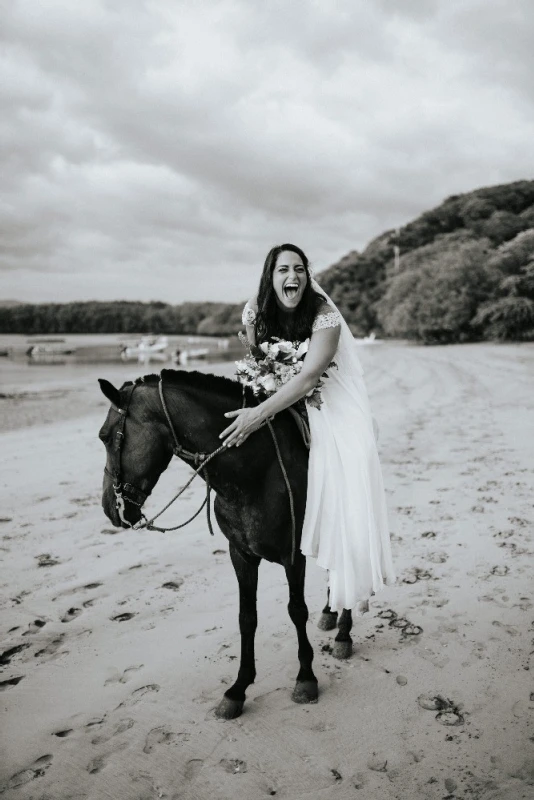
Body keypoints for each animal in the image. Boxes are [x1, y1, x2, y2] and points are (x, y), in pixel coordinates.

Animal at [98, 368, 354, 720]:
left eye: (106, 436)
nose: (109, 507)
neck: (255, 472)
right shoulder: (240, 555)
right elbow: (247, 618)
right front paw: (238, 689)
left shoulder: (292, 556)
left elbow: (296, 610)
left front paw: (305, 678)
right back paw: (330, 613)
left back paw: (344, 632)